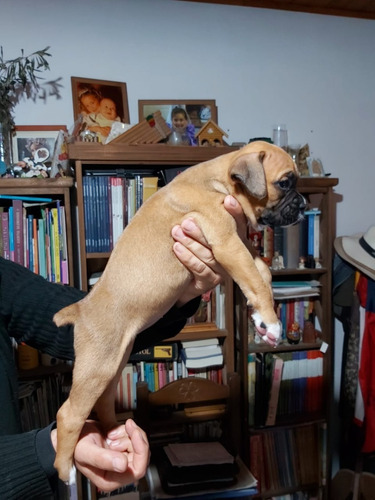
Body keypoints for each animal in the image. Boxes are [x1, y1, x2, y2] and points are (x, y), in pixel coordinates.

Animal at [53, 140, 306, 480]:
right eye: (284, 183)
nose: (303, 205)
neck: (221, 180)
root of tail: (82, 310)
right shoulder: (228, 244)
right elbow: (256, 279)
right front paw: (271, 321)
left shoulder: (239, 242)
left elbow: (261, 274)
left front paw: (261, 321)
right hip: (96, 368)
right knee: (69, 413)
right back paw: (65, 469)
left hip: (113, 364)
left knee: (103, 401)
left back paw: (114, 433)